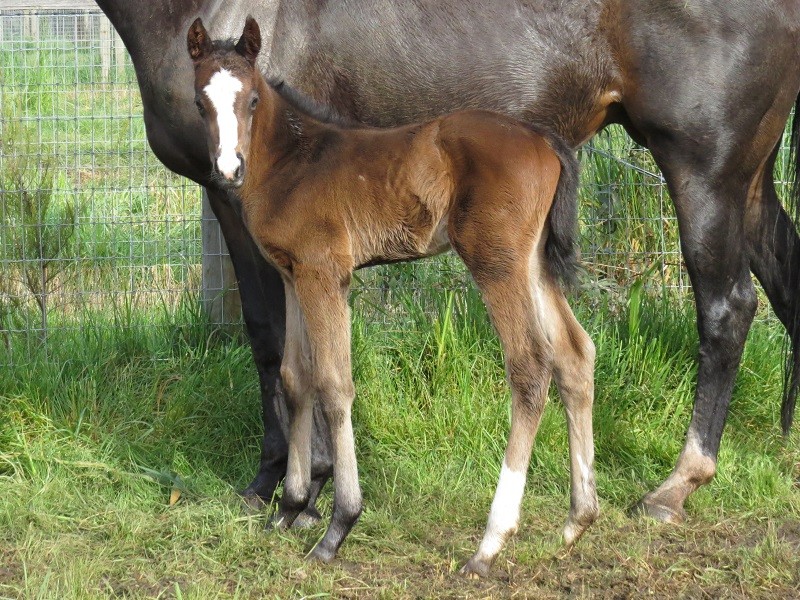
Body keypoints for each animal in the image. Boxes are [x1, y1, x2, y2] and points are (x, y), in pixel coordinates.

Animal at [188, 15, 596, 576]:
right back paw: (579, 519)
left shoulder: (325, 273)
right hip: (533, 262)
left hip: (498, 262)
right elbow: (295, 379)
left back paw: (490, 542)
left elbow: (334, 386)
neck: (295, 160)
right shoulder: (294, 277)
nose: (229, 170)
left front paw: (338, 527)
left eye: (251, 100)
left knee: (531, 366)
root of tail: (543, 137)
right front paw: (289, 509)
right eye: (200, 101)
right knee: (574, 355)